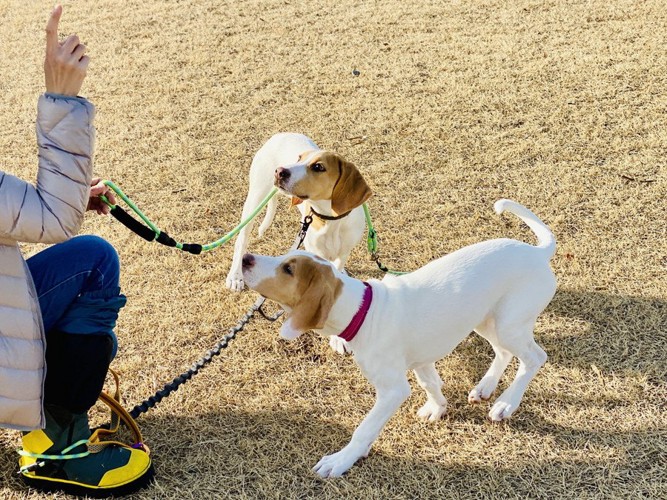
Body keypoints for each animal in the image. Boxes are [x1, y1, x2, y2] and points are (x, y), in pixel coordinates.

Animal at [223, 133, 370, 292]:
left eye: (318, 167)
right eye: (299, 158)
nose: (279, 171)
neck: (330, 220)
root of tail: (280, 134)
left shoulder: (343, 253)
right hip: (255, 198)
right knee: (241, 240)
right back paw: (235, 276)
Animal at [240, 199, 560, 476]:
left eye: (288, 269)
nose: (245, 258)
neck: (364, 310)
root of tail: (538, 252)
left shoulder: (392, 390)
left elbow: (365, 428)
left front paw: (342, 460)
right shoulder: (421, 360)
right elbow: (430, 383)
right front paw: (437, 408)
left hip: (508, 323)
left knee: (534, 357)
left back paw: (506, 403)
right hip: (485, 318)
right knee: (504, 351)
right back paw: (486, 386)